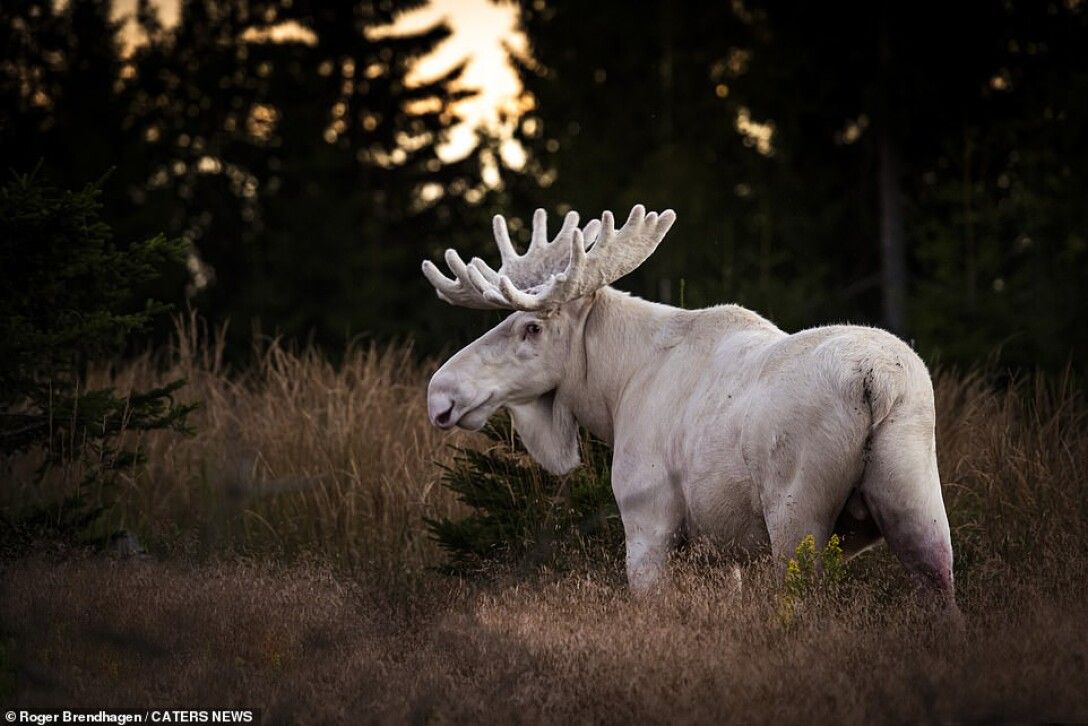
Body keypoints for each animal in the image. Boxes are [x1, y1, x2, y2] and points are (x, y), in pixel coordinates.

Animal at [419, 205, 957, 609]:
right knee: (943, 588)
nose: (440, 393)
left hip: (796, 512)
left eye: (531, 328)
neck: (614, 390)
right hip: (917, 499)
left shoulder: (647, 518)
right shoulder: (722, 549)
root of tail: (876, 382)